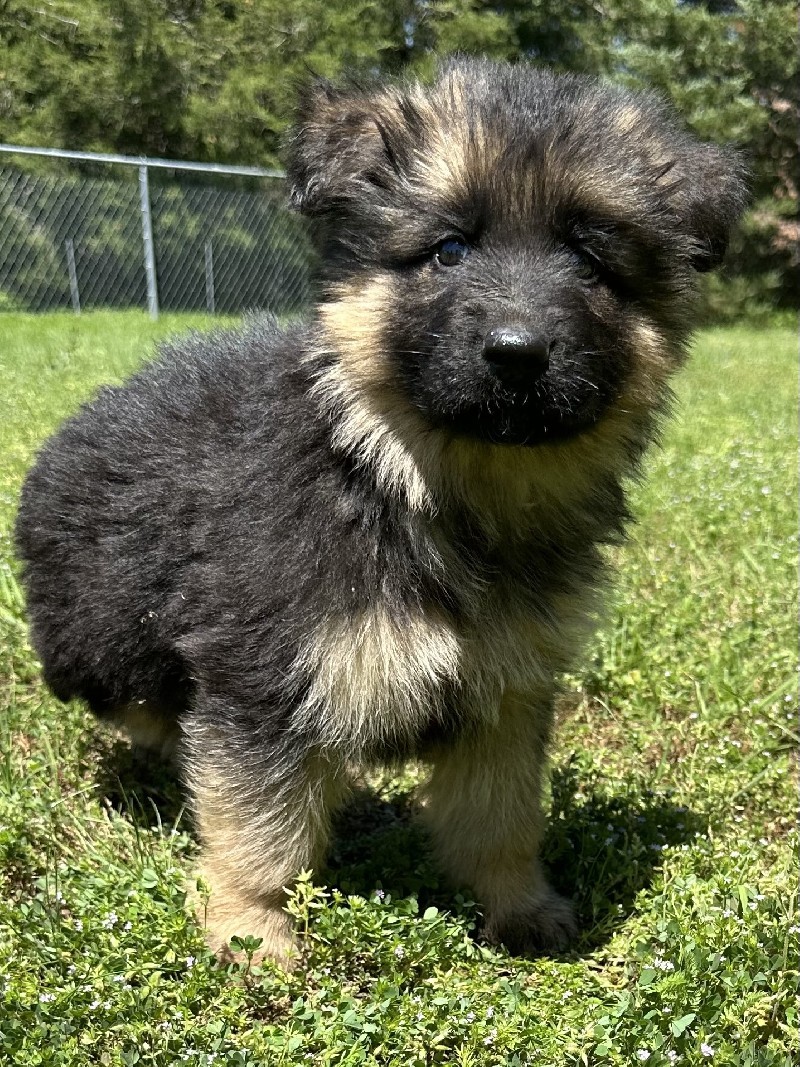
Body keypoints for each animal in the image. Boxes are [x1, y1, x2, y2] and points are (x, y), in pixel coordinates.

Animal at [14, 58, 750, 968]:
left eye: (587, 257)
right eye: (449, 249)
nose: (517, 353)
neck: (403, 478)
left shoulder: (507, 690)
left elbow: (502, 818)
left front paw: (518, 905)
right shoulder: (265, 677)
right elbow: (258, 824)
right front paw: (250, 928)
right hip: (99, 642)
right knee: (142, 702)